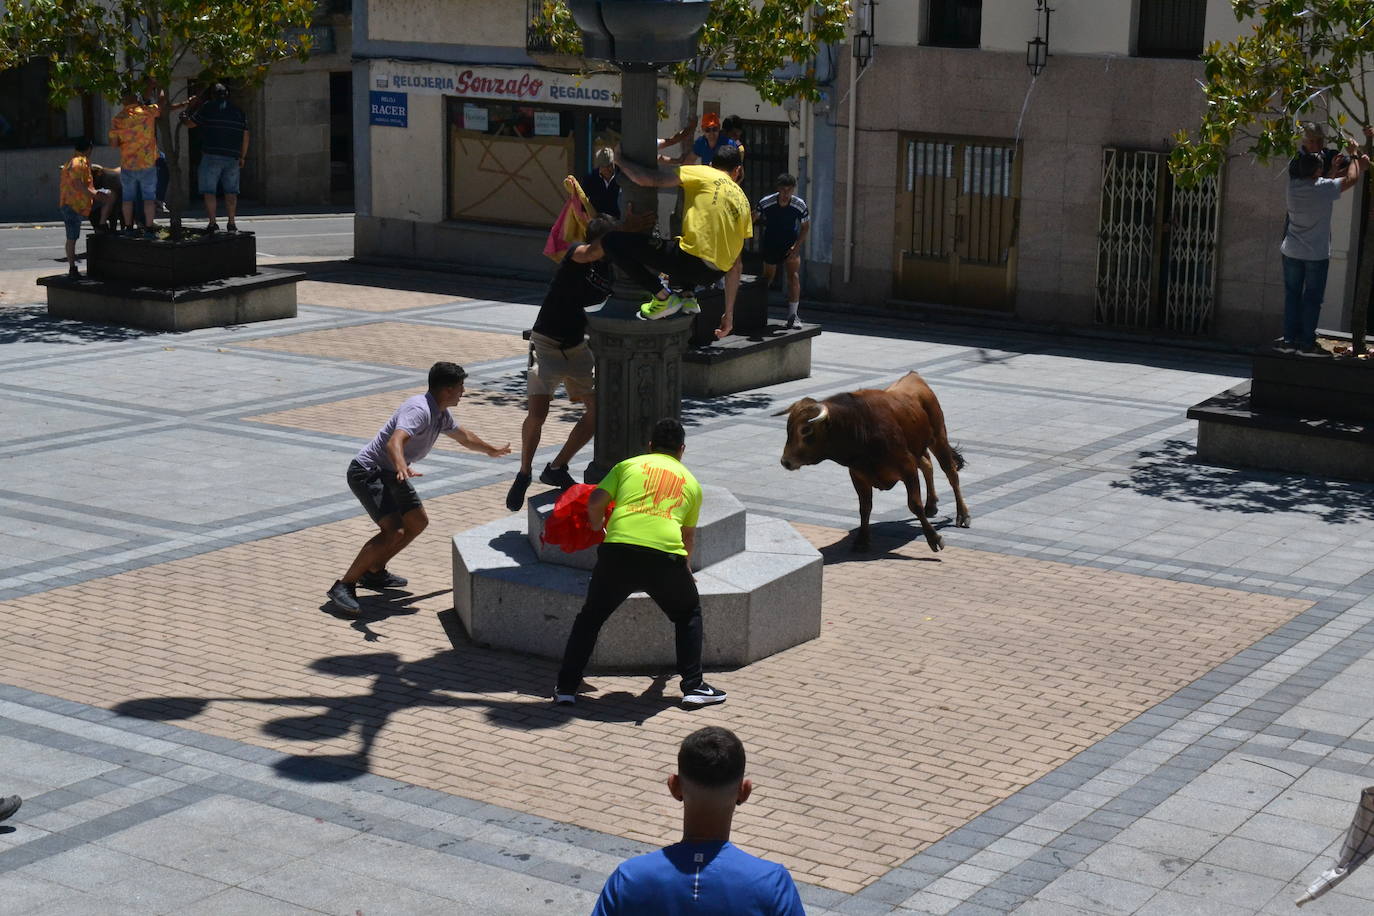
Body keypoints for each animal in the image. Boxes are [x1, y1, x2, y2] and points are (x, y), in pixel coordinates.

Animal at [780, 370, 972, 552]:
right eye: (788, 428)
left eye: (805, 430)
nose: (785, 461)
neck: (859, 428)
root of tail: (913, 376)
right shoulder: (858, 475)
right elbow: (865, 507)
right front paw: (862, 540)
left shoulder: (907, 467)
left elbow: (914, 504)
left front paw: (934, 539)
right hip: (919, 447)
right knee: (927, 465)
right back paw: (931, 505)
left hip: (938, 437)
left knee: (951, 474)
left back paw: (963, 514)